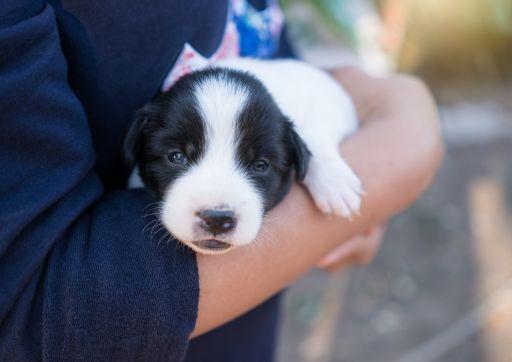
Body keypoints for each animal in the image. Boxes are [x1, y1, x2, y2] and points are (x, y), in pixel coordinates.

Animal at [124, 58, 362, 255]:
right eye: (176, 157)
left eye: (260, 165)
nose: (217, 219)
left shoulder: (330, 102)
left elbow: (317, 128)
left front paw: (334, 182)